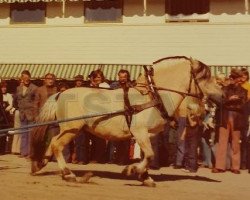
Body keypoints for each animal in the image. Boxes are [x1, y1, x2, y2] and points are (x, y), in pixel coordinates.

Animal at [29, 56, 223, 186]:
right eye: (204, 76)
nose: (222, 96)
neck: (154, 96)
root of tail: (61, 93)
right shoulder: (139, 132)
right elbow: (150, 155)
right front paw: (132, 170)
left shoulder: (148, 135)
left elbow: (148, 155)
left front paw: (145, 177)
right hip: (72, 128)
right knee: (56, 144)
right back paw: (67, 173)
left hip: (70, 129)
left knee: (53, 143)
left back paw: (40, 164)